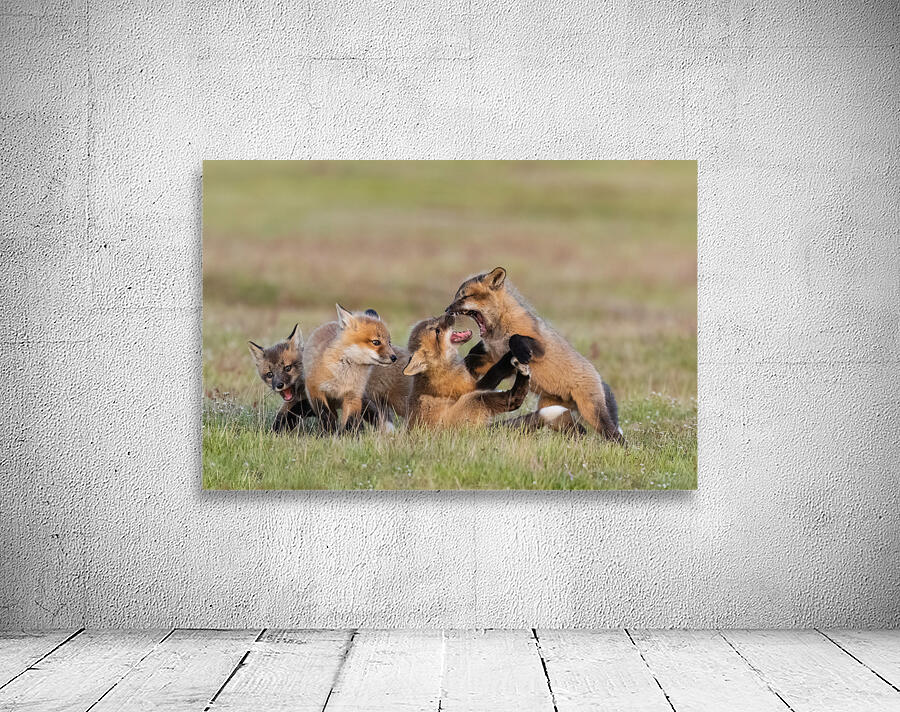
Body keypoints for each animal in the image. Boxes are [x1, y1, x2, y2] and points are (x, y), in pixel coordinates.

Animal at [403, 314, 581, 431]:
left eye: (436, 319)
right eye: (437, 331)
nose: (450, 313)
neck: (442, 368)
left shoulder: (470, 375)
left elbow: (471, 358)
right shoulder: (470, 388)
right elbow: (495, 371)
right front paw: (509, 355)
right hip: (475, 399)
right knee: (513, 401)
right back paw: (522, 374)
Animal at [445, 267, 624, 443]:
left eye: (465, 296)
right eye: (457, 296)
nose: (447, 310)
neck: (498, 333)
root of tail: (599, 377)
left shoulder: (540, 348)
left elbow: (516, 338)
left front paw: (522, 352)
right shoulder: (492, 358)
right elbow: (472, 359)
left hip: (592, 414)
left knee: (615, 435)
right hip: (555, 415)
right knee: (579, 431)